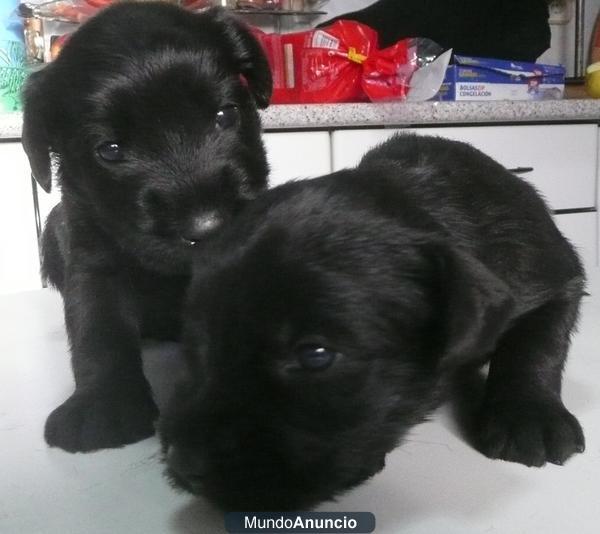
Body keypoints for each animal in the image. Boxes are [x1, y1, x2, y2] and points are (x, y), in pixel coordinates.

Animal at [21, 2, 272, 454]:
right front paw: (102, 403)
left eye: (225, 115)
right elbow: (98, 328)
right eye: (110, 150)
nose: (209, 227)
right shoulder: (93, 258)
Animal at [159, 134, 584, 510]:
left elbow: (537, 343)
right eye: (197, 343)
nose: (183, 463)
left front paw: (529, 417)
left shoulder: (549, 274)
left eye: (316, 356)